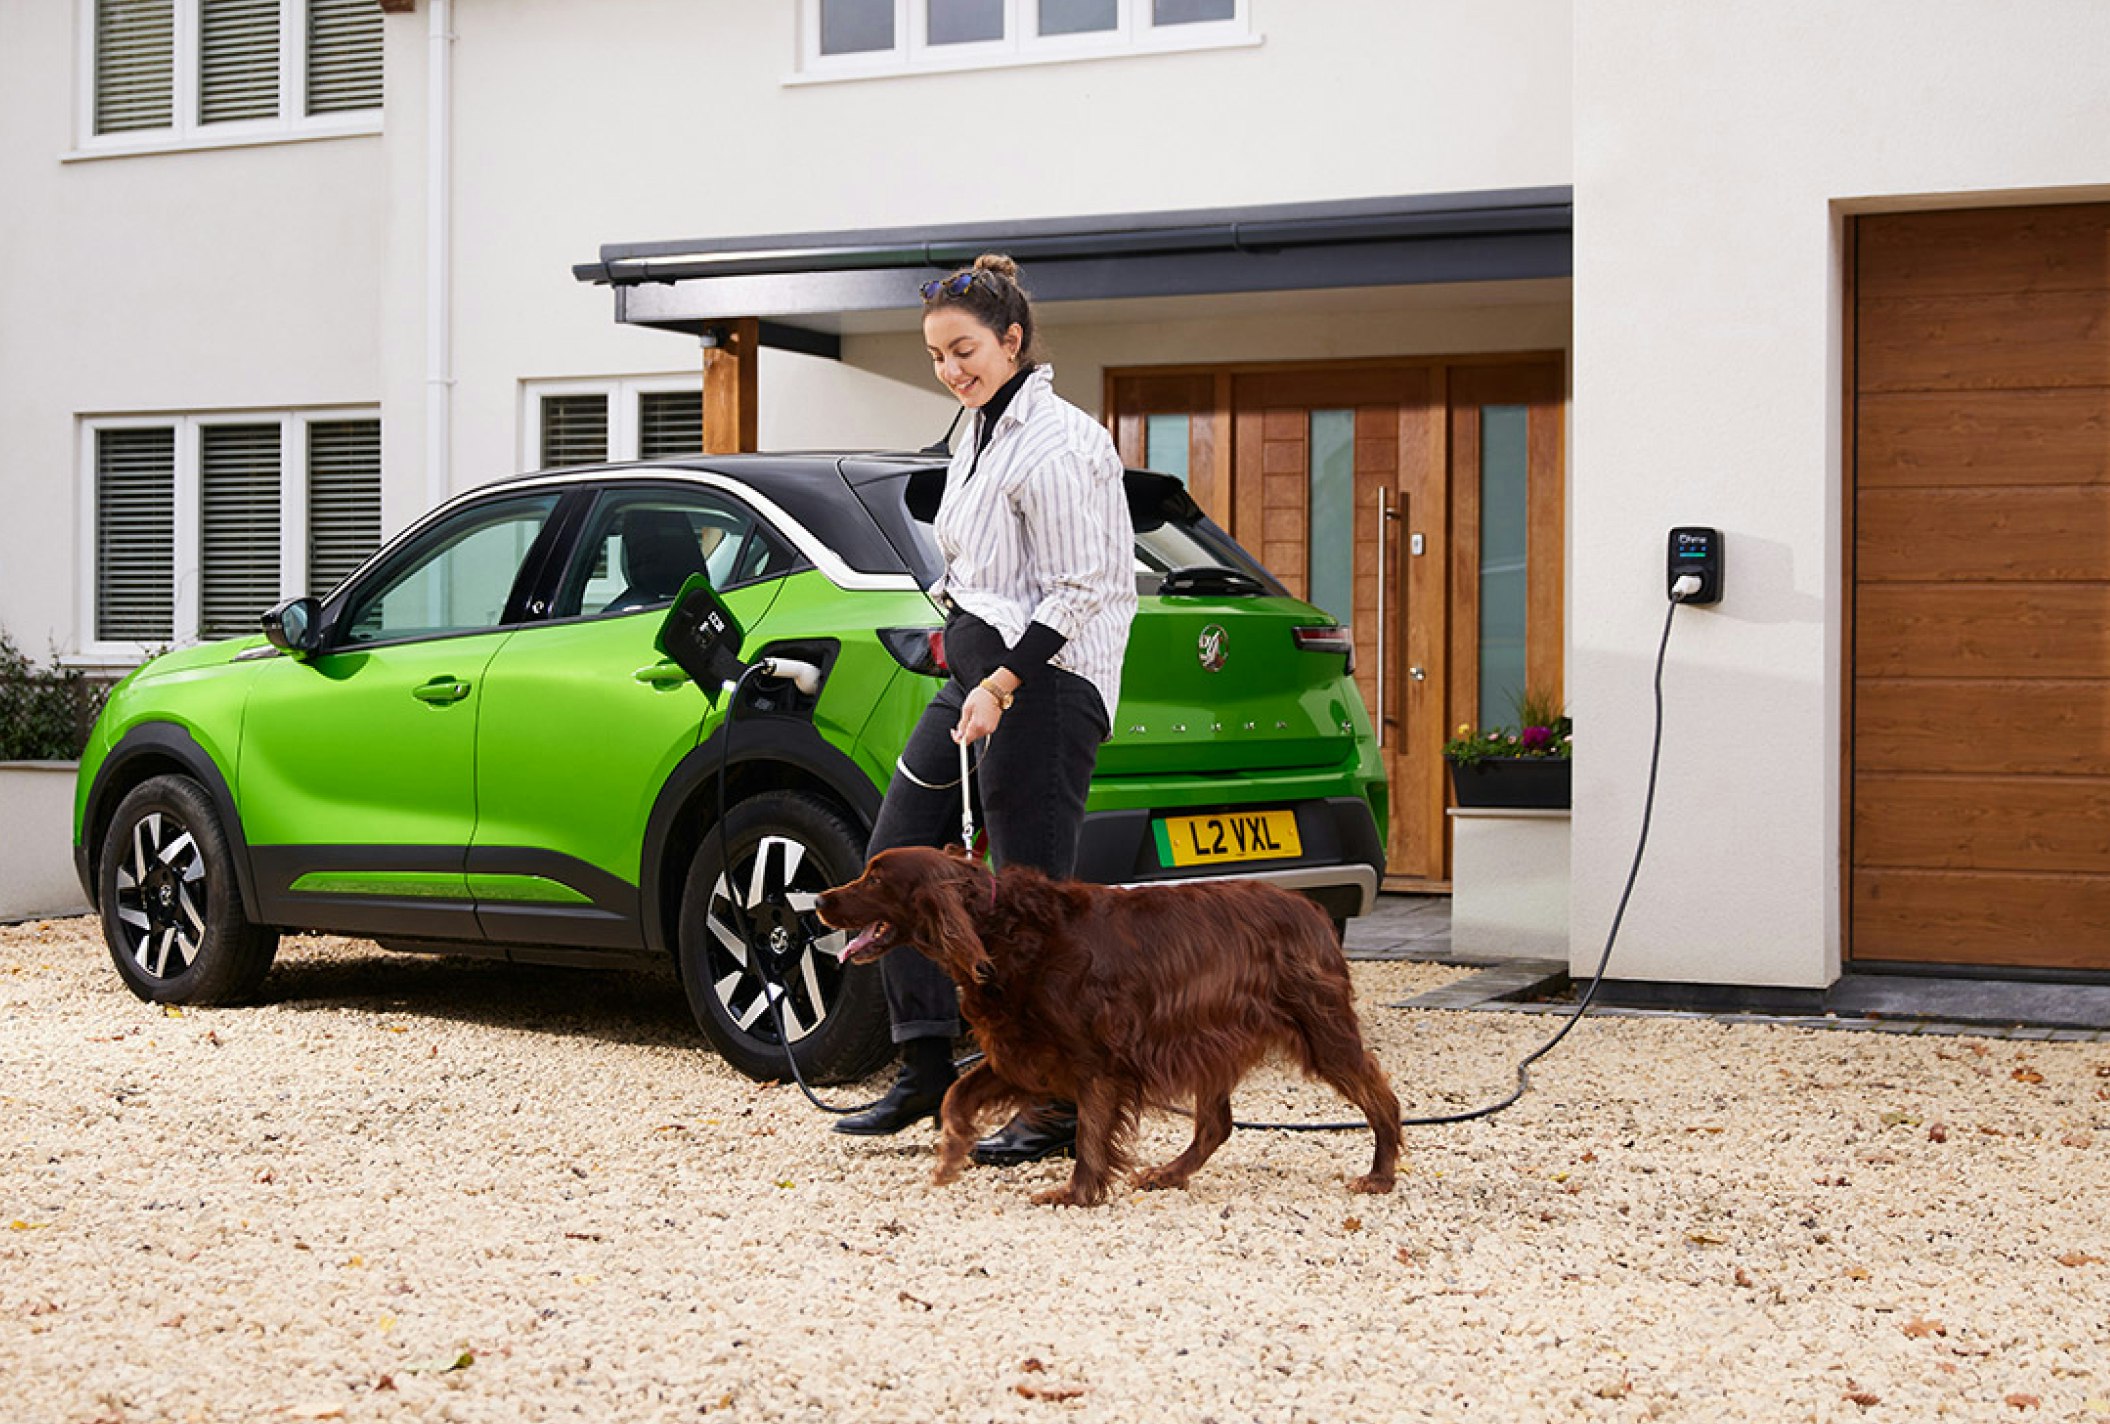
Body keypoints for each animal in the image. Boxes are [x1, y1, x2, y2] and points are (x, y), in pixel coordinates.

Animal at [818, 852, 1401, 1206]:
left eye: (876, 877)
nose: (820, 900)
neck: (1000, 930)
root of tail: (1312, 909)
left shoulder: (1096, 1059)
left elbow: (1091, 1132)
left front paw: (1076, 1193)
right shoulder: (1024, 1050)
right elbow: (956, 1095)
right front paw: (951, 1156)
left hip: (1321, 1032)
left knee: (1382, 1099)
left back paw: (1381, 1174)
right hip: (1211, 1040)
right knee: (1215, 1125)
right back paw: (1169, 1173)